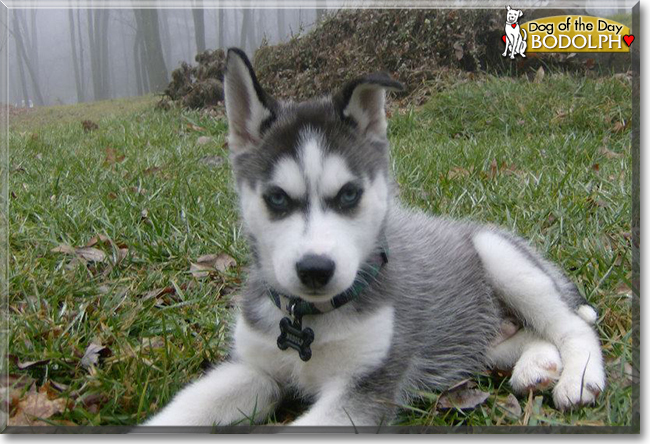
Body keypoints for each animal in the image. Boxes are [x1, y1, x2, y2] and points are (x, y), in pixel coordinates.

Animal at [144, 47, 604, 426]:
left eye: (349, 194)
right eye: (276, 198)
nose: (315, 270)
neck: (312, 321)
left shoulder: (364, 390)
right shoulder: (252, 369)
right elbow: (186, 407)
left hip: (501, 258)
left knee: (570, 326)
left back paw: (578, 377)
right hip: (478, 339)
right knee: (530, 333)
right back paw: (537, 365)